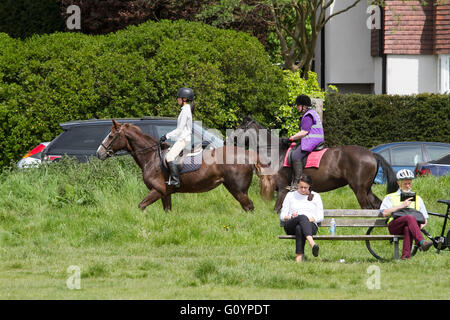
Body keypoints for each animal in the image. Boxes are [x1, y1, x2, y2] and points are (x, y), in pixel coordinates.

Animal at [96, 119, 268, 211]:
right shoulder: (165, 194)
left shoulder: (157, 190)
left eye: (111, 136)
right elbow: (167, 211)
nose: (99, 153)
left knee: (249, 207)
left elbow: (141, 206)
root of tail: (248, 155)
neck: (151, 157)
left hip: (238, 190)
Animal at [229, 116, 398, 211]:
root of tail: (371, 154)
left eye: (240, 127)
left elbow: (276, 209)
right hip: (367, 189)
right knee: (377, 206)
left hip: (359, 189)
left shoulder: (283, 189)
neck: (277, 153)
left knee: (366, 208)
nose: (229, 139)